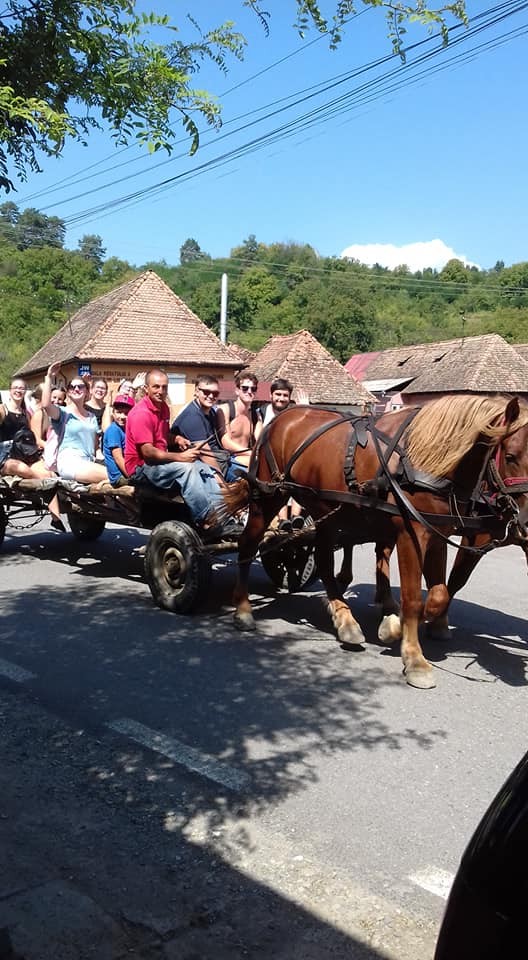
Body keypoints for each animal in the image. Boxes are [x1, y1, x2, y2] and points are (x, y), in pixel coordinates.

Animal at [223, 395, 528, 690]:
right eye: (510, 456)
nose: (525, 524)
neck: (425, 459)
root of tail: (282, 417)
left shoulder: (437, 532)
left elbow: (440, 592)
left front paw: (405, 624)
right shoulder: (412, 533)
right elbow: (414, 599)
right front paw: (414, 657)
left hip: (324, 509)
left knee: (325, 560)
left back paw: (345, 618)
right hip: (268, 497)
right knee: (249, 544)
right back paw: (244, 609)